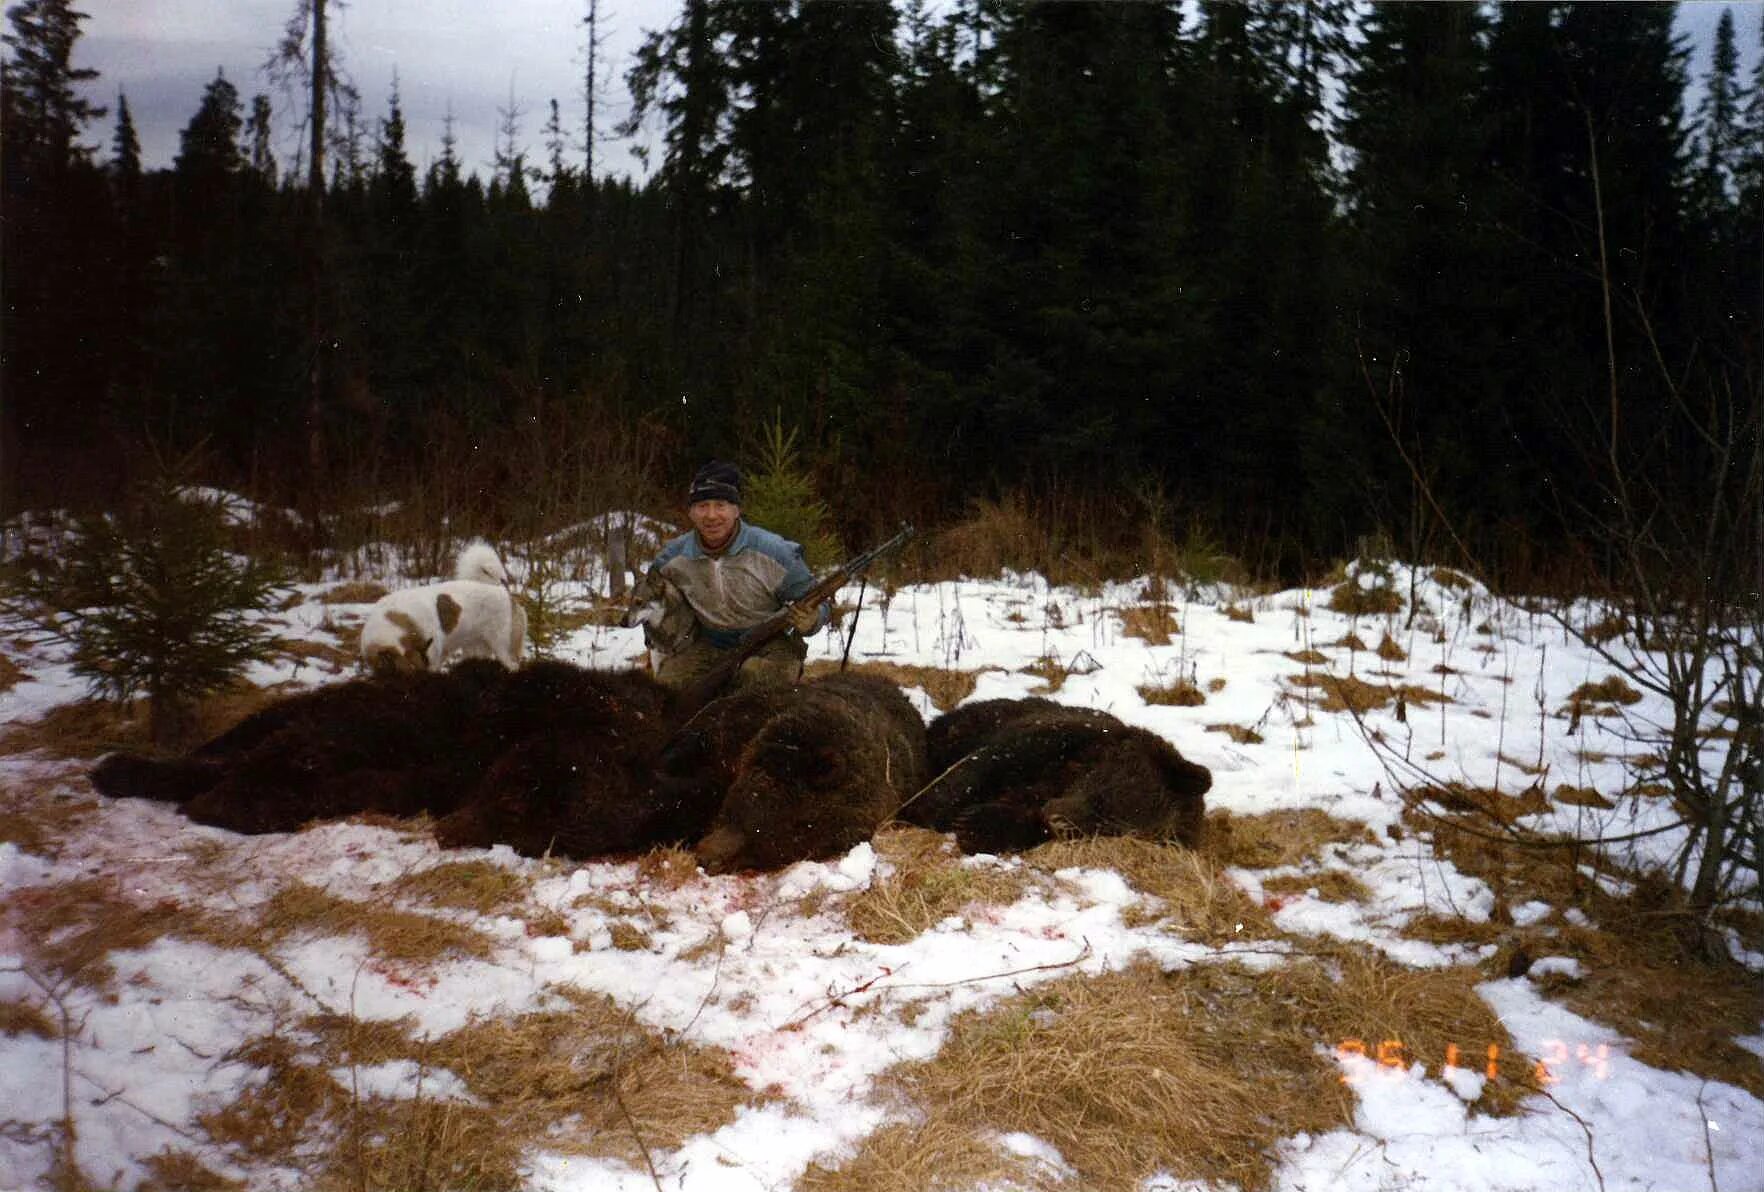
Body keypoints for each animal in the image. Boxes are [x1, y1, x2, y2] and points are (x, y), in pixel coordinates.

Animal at [903, 698, 1206, 856]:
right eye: (1103, 792)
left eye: (1113, 828)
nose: (1059, 819)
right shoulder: (1048, 740)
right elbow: (975, 773)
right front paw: (926, 810)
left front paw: (976, 826)